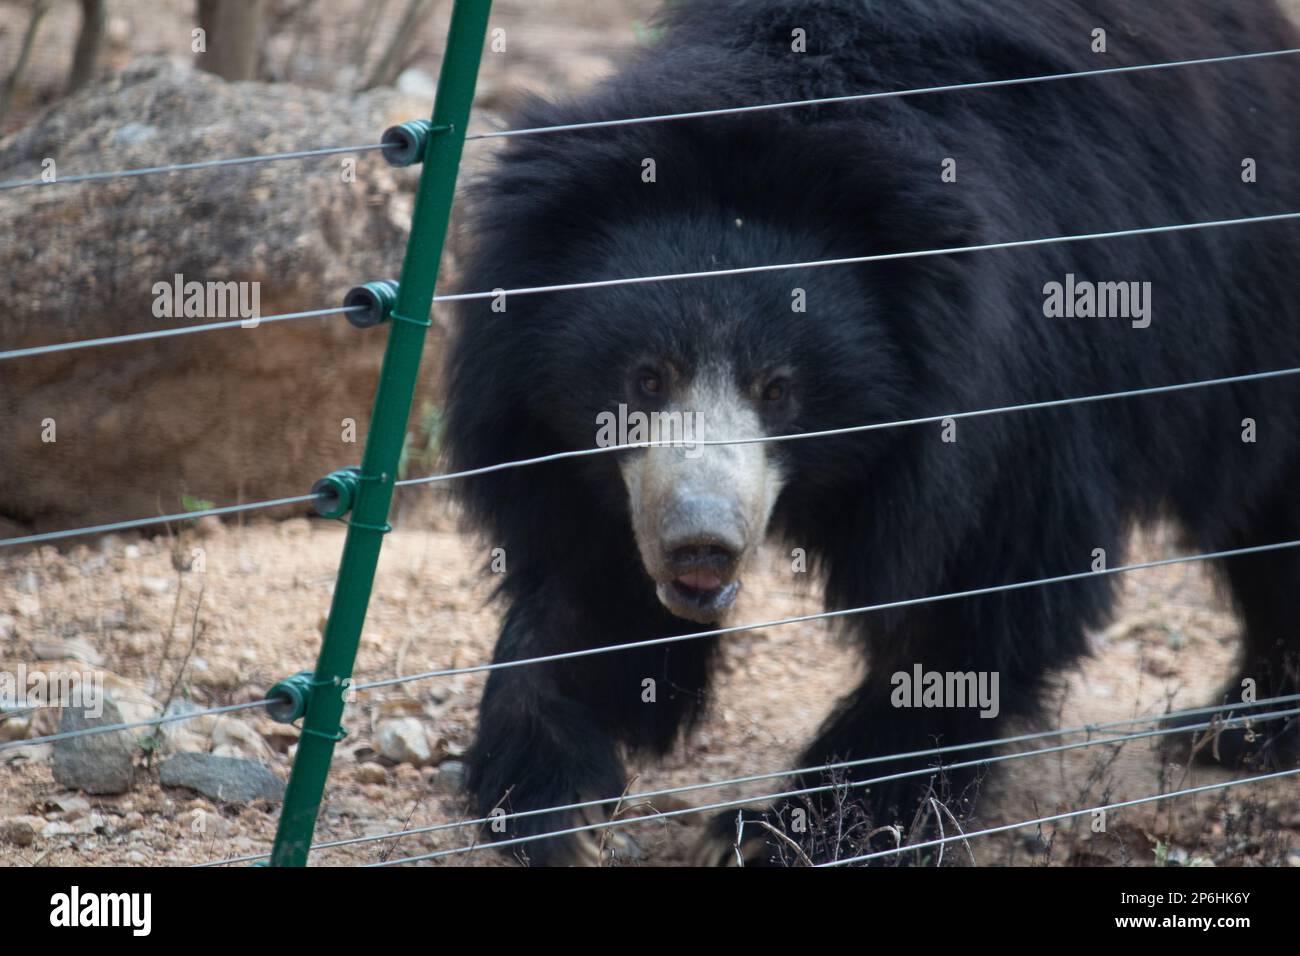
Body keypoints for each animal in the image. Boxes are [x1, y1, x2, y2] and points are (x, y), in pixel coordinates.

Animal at [439, 0, 1300, 868]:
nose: (700, 546)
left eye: (778, 389)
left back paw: (1237, 729)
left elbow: (982, 585)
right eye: (648, 378)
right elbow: (584, 580)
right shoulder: (561, 437)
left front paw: (785, 831)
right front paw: (550, 801)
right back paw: (1239, 728)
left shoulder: (1026, 379)